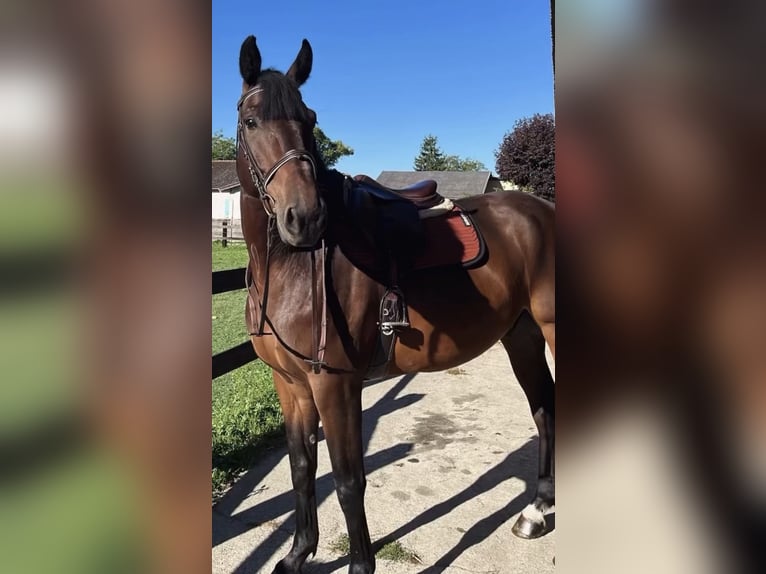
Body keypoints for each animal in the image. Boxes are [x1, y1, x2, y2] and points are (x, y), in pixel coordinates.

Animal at [234, 35, 555, 574]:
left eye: (310, 119)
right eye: (252, 120)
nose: (305, 217)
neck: (290, 268)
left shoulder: (336, 385)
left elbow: (348, 481)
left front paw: (359, 565)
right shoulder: (290, 384)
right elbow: (302, 467)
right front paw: (297, 554)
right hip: (523, 335)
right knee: (544, 407)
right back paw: (536, 511)